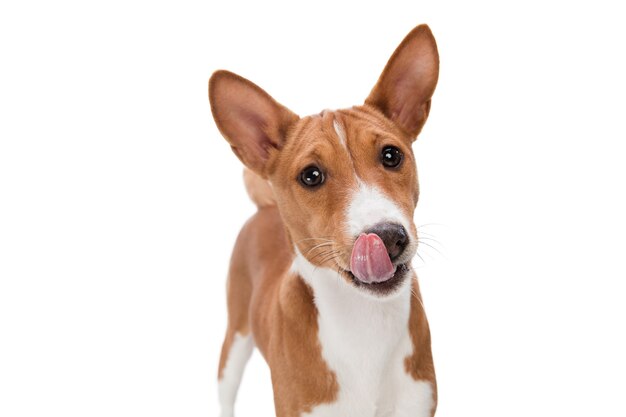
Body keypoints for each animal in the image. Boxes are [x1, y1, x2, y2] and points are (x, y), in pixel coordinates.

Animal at [207, 23, 436, 416]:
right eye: (311, 176)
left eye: (391, 155)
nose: (388, 236)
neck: (365, 328)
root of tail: (264, 207)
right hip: (234, 342)